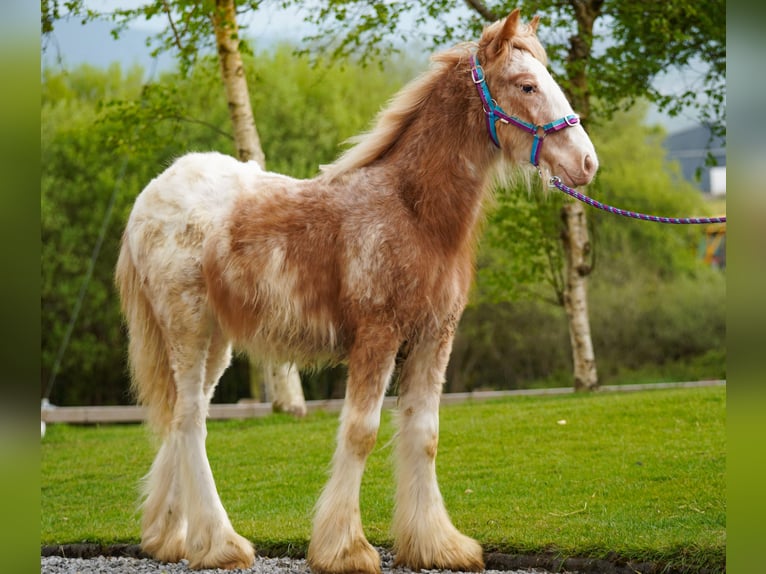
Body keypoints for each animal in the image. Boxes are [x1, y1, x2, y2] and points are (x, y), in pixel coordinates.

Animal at [115, 8, 597, 573]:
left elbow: (425, 434)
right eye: (526, 84)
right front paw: (344, 549)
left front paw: (436, 544)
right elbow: (361, 432)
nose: (586, 163)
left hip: (217, 343)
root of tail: (151, 196)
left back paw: (169, 537)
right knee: (191, 422)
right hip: (189, 330)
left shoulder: (435, 337)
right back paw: (220, 544)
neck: (412, 210)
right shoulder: (377, 336)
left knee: (179, 420)